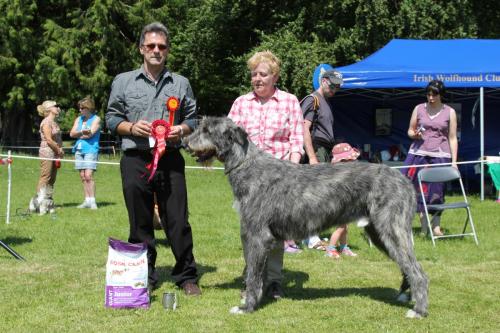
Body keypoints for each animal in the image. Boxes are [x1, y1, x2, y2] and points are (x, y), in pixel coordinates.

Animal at [186, 116, 428, 316]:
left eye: (207, 129)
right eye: (201, 126)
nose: (185, 142)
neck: (247, 166)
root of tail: (405, 181)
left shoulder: (256, 235)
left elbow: (253, 274)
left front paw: (247, 306)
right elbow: (257, 273)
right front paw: (253, 299)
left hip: (391, 229)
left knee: (418, 272)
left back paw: (419, 310)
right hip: (379, 233)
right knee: (407, 267)